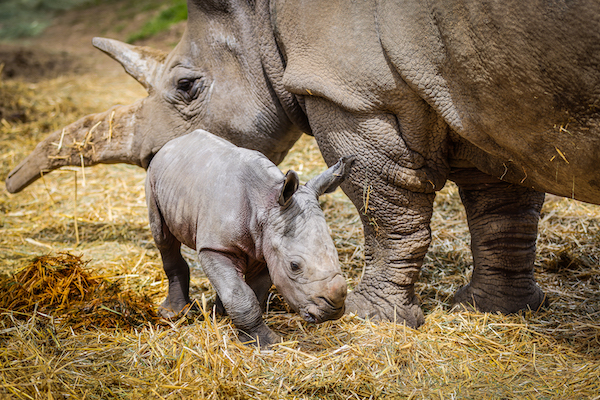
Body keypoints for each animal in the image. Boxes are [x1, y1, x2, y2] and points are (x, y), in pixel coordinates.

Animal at [146, 130, 352, 346]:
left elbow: (254, 292)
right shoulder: (215, 247)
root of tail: (173, 142)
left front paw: (249, 332)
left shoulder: (267, 246)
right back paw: (174, 314)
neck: (266, 204)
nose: (333, 311)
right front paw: (266, 343)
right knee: (163, 239)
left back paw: (218, 313)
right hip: (153, 175)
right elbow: (241, 295)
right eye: (294, 266)